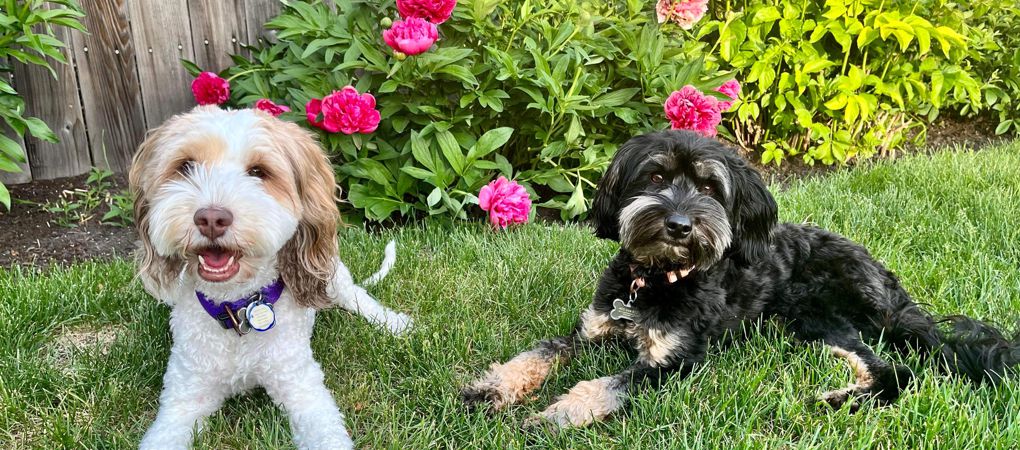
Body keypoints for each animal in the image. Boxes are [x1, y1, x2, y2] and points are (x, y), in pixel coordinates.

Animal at [130, 103, 410, 446]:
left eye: (258, 172)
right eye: (186, 166)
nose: (211, 218)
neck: (238, 311)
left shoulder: (302, 388)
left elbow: (327, 434)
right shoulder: (183, 398)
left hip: (332, 276)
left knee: (358, 296)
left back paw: (393, 322)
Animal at [463, 129, 1020, 424]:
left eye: (711, 188)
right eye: (656, 176)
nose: (679, 224)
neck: (657, 279)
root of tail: (888, 284)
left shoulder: (677, 362)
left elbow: (600, 384)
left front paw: (553, 416)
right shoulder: (592, 330)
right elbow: (535, 355)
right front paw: (491, 390)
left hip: (817, 311)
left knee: (898, 372)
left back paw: (834, 400)